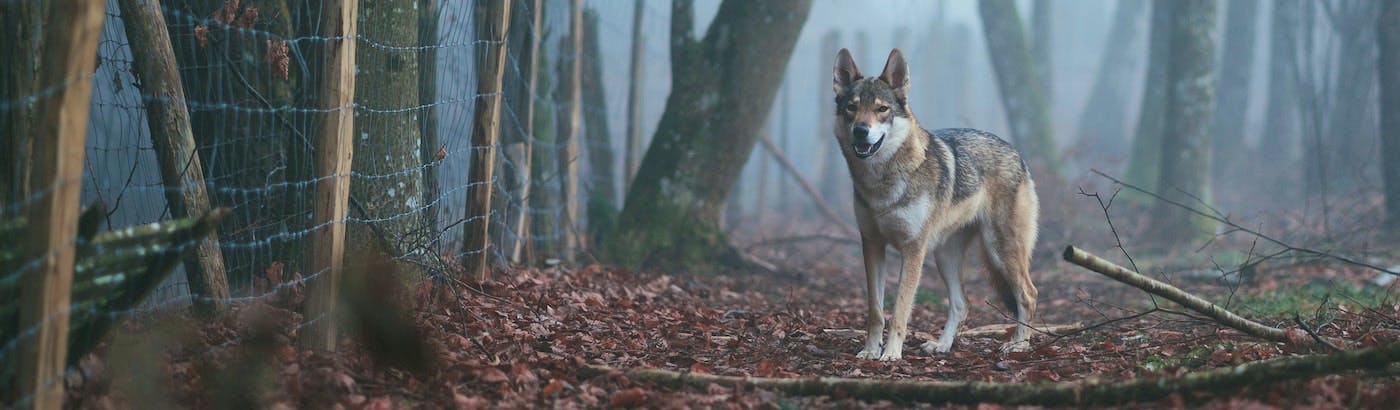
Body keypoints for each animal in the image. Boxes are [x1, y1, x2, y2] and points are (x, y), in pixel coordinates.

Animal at [832, 48, 1040, 361]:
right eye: (851, 108)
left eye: (882, 109)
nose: (860, 131)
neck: (882, 181)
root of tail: (1016, 152)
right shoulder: (872, 244)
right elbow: (876, 311)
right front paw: (870, 351)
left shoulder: (913, 250)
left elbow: (900, 310)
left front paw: (890, 354)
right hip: (946, 256)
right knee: (962, 303)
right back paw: (942, 346)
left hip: (1000, 250)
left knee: (1028, 294)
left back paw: (1019, 345)